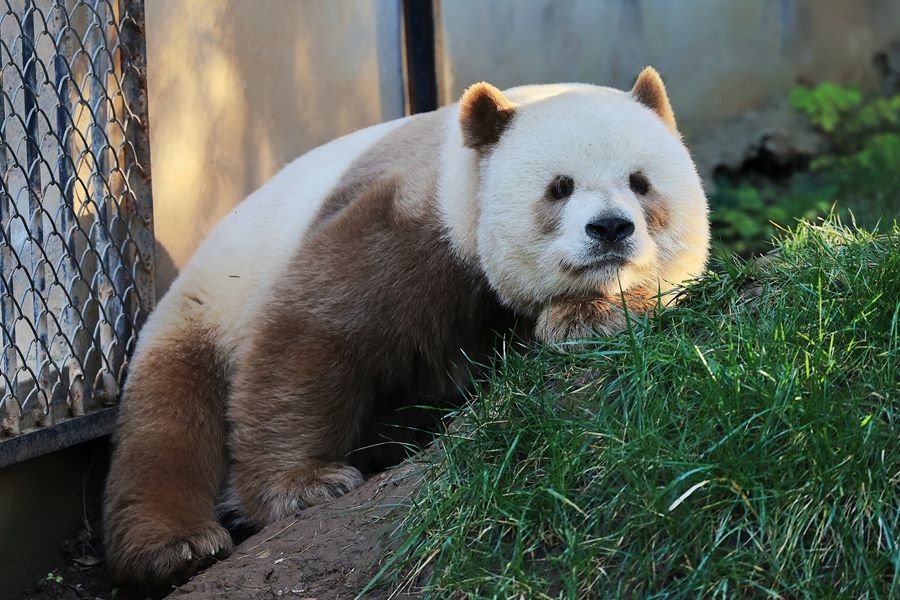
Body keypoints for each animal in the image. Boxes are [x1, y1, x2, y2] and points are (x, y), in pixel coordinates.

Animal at [102, 67, 708, 584]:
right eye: (559, 186)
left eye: (640, 182)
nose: (610, 229)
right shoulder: (410, 223)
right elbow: (314, 334)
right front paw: (306, 486)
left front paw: (590, 316)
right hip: (204, 309)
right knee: (170, 422)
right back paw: (177, 546)